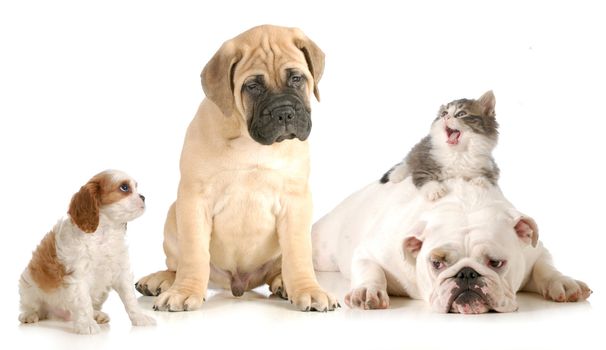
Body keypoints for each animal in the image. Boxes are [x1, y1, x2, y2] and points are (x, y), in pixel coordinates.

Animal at [137, 26, 342, 314]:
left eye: (296, 78)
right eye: (253, 86)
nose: (284, 113)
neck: (250, 141)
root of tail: (238, 283)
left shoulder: (296, 201)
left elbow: (298, 253)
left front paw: (308, 290)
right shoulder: (194, 199)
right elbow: (194, 253)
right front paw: (184, 291)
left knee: (278, 268)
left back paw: (283, 283)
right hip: (173, 215)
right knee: (178, 265)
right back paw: (162, 279)